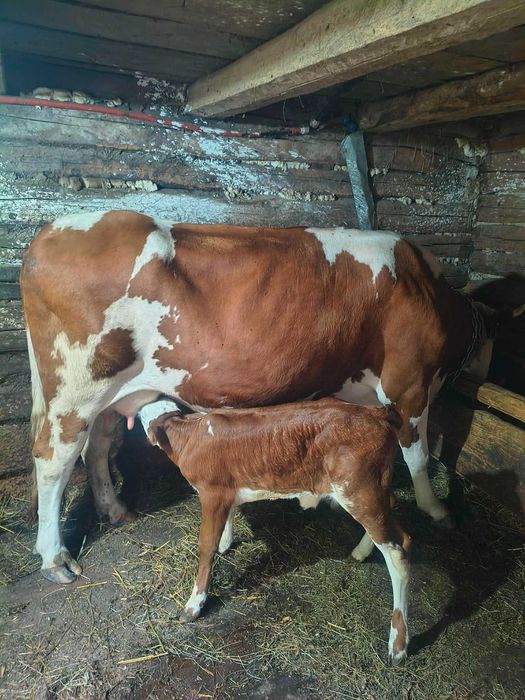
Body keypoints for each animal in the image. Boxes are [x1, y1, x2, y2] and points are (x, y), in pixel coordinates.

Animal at [21, 210, 495, 586]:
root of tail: (54, 230)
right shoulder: (409, 381)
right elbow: (416, 456)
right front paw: (436, 508)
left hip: (107, 392)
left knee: (97, 447)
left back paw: (114, 509)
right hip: (75, 388)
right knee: (53, 458)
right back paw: (55, 558)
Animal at [139, 397, 410, 664]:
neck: (190, 435)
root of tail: (376, 412)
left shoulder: (212, 492)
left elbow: (206, 546)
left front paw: (194, 604)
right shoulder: (226, 493)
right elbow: (228, 518)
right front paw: (226, 542)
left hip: (358, 490)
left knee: (399, 551)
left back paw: (398, 645)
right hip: (373, 490)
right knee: (393, 507)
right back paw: (361, 551)